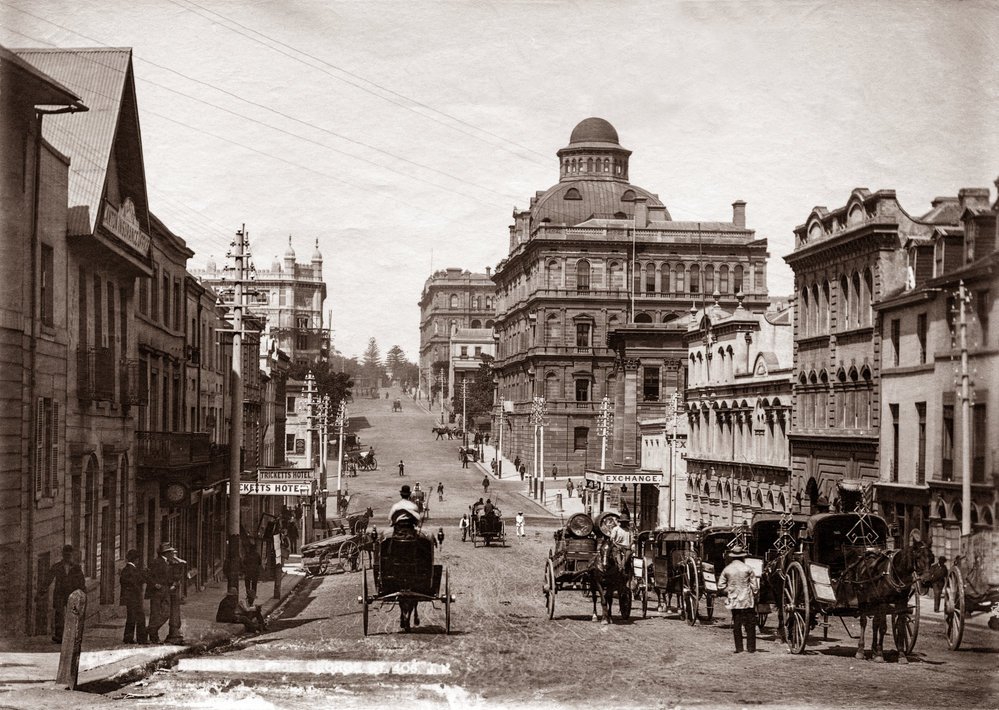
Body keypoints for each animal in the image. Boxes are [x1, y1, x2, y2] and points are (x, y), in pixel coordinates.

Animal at [844, 536, 936, 664]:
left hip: (874, 601)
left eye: (932, 558)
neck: (896, 573)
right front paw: (880, 655)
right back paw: (861, 650)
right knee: (864, 621)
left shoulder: (902, 603)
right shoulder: (883, 601)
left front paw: (901, 655)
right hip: (862, 597)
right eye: (918, 557)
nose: (927, 581)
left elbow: (900, 628)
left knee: (875, 623)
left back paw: (873, 650)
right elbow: (883, 628)